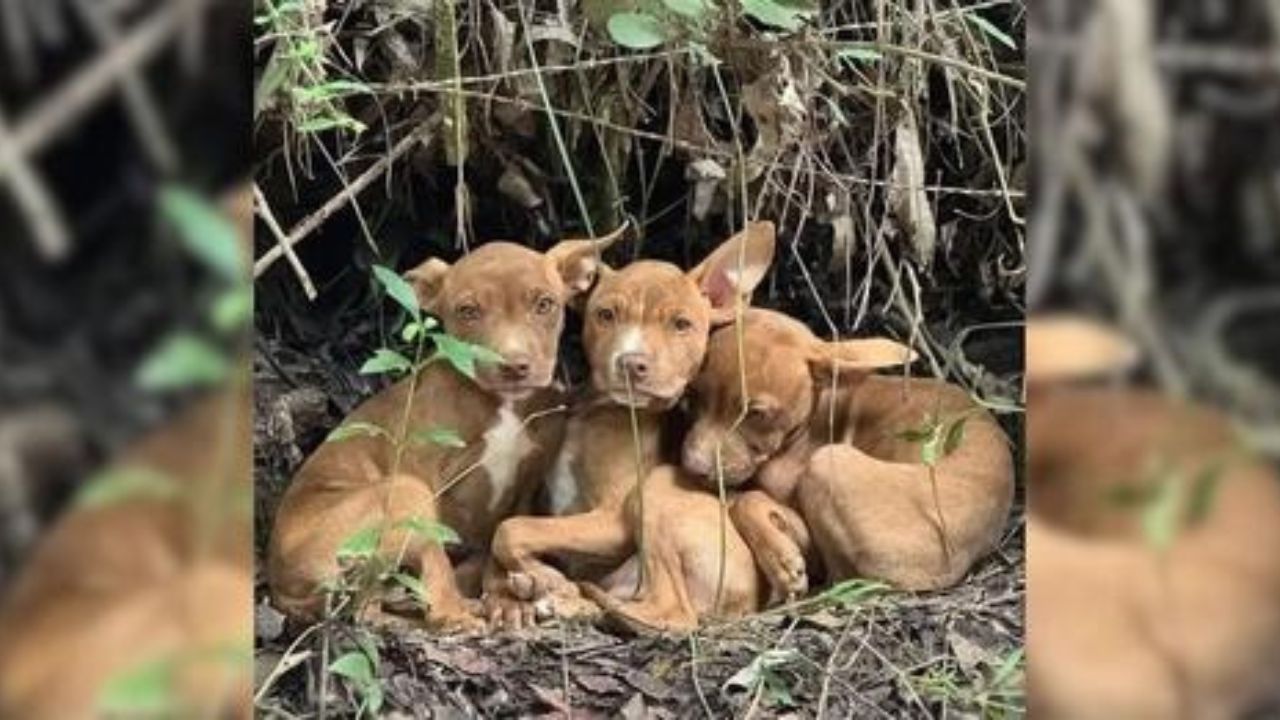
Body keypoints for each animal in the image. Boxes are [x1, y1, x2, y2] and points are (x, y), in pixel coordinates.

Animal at [268, 230, 619, 627]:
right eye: (468, 311)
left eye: (545, 305)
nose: (514, 366)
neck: (504, 405)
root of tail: (278, 589)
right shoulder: (423, 472)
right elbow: (443, 552)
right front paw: (498, 598)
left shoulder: (528, 480)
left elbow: (503, 537)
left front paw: (507, 598)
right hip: (405, 492)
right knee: (382, 600)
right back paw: (455, 613)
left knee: (372, 604)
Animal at [486, 221, 768, 625]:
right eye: (605, 315)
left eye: (681, 324)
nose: (632, 362)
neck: (599, 411)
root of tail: (750, 601)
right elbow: (507, 532)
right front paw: (518, 589)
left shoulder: (611, 523)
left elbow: (511, 528)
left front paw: (543, 577)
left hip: (655, 494)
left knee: (673, 613)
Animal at [680, 311, 1008, 597]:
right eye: (694, 396)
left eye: (756, 414)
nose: (692, 468)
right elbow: (745, 499)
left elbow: (747, 499)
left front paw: (781, 560)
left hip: (827, 463)